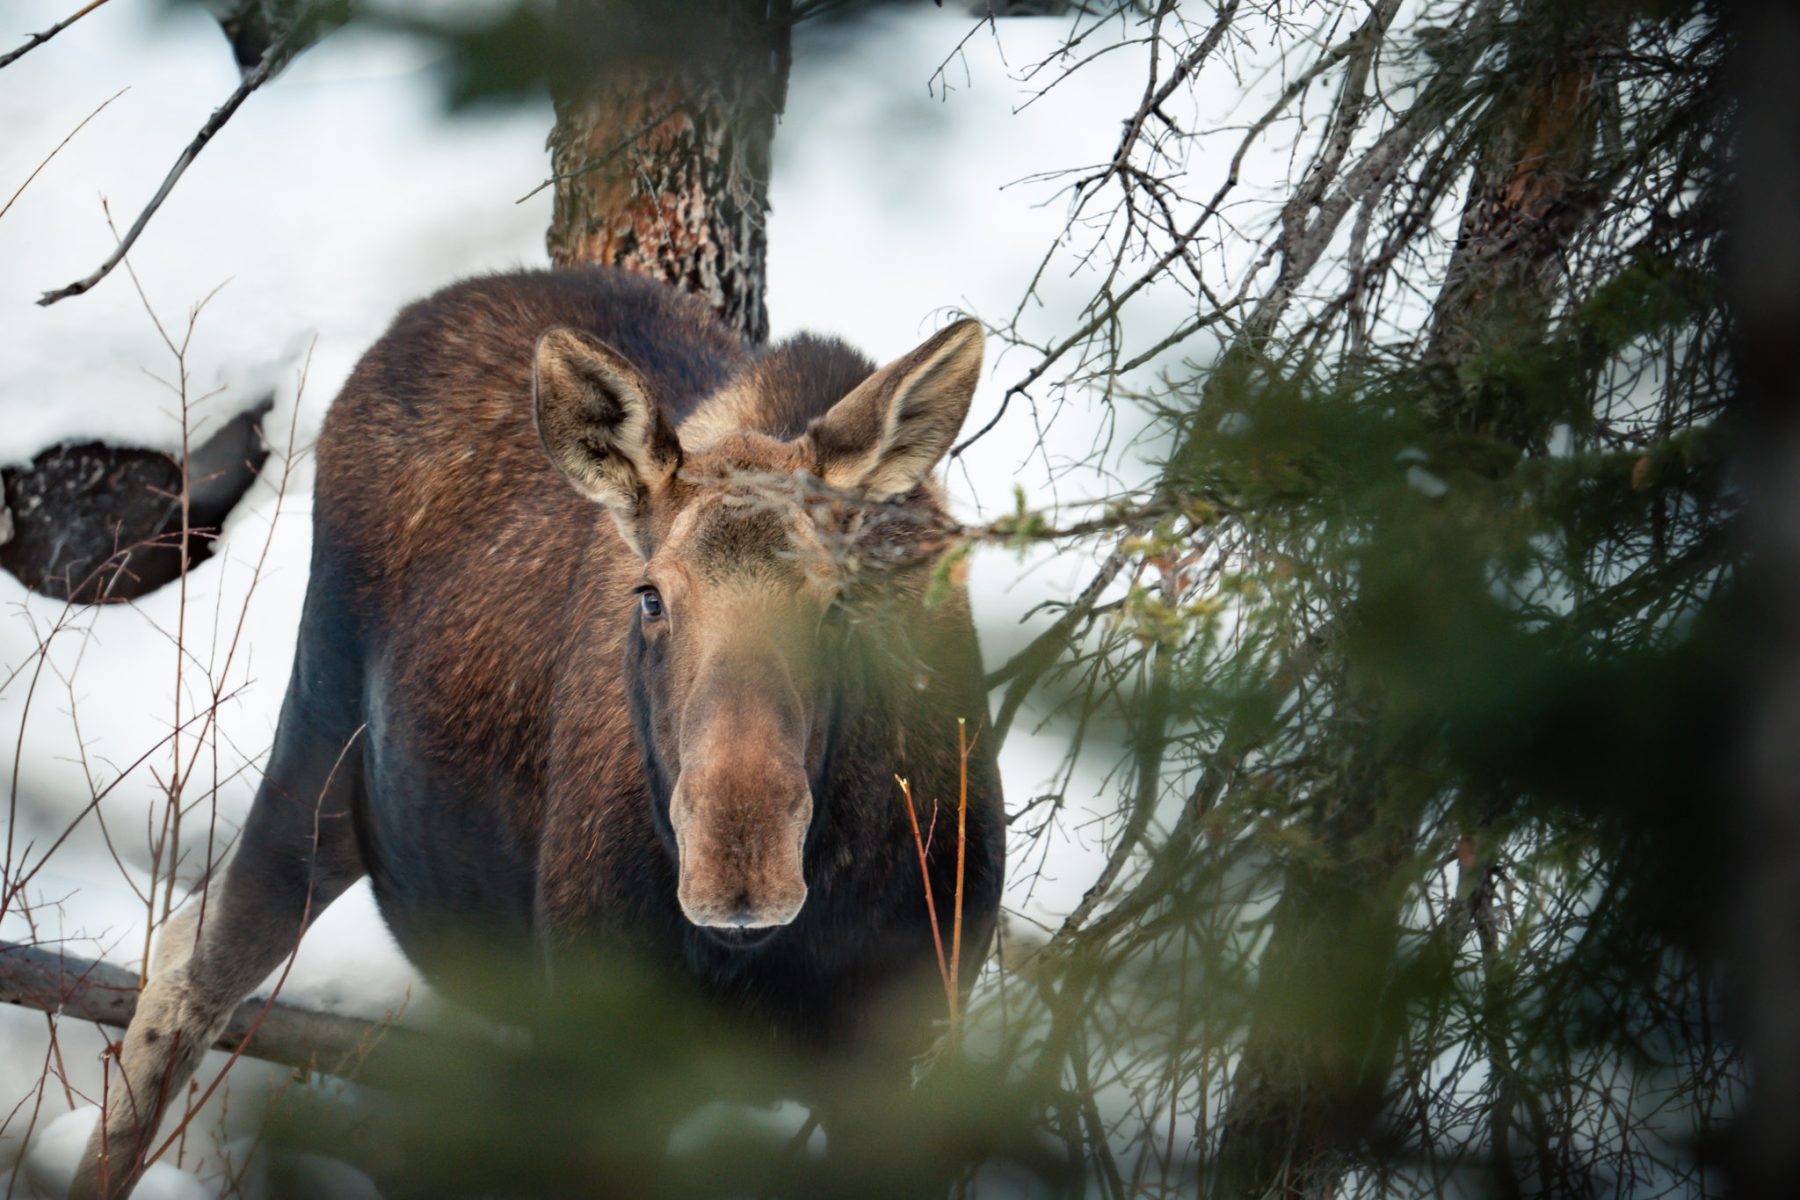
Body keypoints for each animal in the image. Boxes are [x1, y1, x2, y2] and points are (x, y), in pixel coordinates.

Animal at [73, 268, 1000, 1194]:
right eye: (650, 595)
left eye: (839, 603)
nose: (740, 862)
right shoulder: (608, 1043)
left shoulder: (895, 1062)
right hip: (317, 743)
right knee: (189, 977)